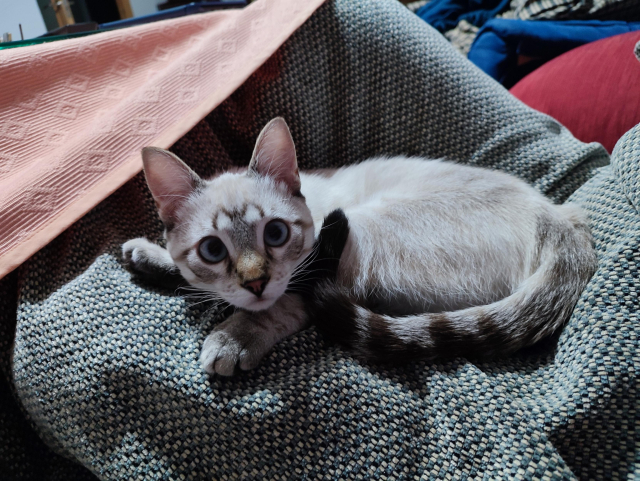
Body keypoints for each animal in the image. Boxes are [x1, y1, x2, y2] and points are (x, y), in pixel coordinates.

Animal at [124, 116, 596, 376]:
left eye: (275, 234)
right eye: (213, 251)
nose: (255, 283)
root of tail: (558, 216)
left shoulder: (310, 270)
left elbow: (275, 308)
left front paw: (231, 339)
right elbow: (186, 272)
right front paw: (149, 256)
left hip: (366, 232)